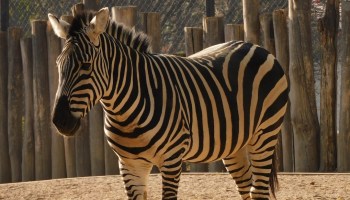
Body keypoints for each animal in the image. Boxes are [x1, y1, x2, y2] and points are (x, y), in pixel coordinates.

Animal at [49, 7, 288, 200]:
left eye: (86, 66)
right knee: (245, 186)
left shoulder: (172, 159)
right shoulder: (129, 164)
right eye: (58, 64)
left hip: (264, 135)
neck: (125, 113)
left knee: (258, 191)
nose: (60, 121)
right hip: (234, 143)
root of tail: (255, 46)